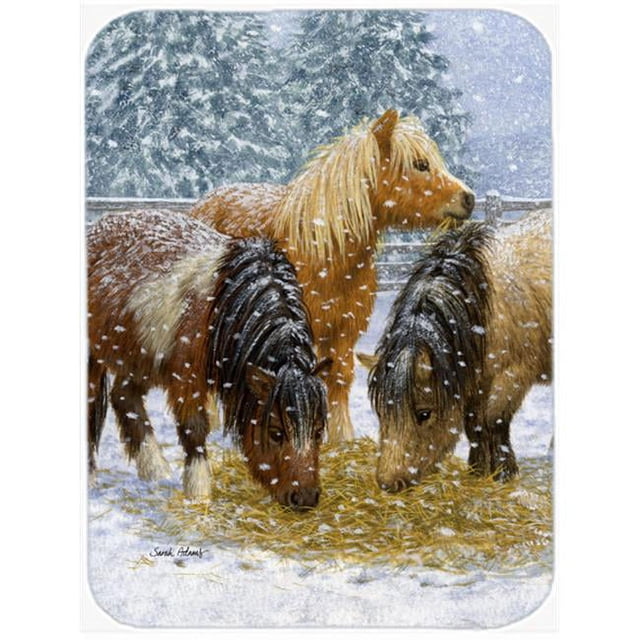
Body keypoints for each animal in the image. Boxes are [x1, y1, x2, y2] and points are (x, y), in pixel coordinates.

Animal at [87, 210, 331, 509]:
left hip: (139, 358)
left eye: (318, 432)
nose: (305, 498)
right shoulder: (186, 380)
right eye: (276, 432)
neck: (223, 304)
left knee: (124, 398)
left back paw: (156, 473)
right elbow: (194, 429)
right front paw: (199, 495)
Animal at [190, 109, 475, 442]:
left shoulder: (343, 330)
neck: (323, 250)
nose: (468, 198)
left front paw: (340, 437)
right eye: (420, 164)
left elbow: (339, 377)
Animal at [358, 209, 552, 492]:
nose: (389, 484)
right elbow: (474, 426)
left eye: (424, 413)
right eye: (381, 412)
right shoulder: (473, 381)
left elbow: (494, 422)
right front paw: (478, 472)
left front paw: (503, 475)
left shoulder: (512, 377)